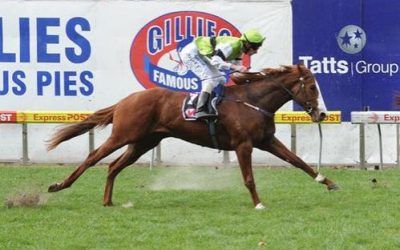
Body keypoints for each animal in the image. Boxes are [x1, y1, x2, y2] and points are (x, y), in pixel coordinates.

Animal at [48, 64, 340, 209]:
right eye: (312, 87)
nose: (323, 114)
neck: (253, 101)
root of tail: (124, 101)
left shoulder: (266, 141)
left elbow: (298, 161)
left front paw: (328, 182)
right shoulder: (243, 145)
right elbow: (249, 178)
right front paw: (258, 204)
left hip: (143, 142)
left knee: (113, 166)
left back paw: (107, 201)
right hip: (123, 134)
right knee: (92, 157)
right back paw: (58, 186)